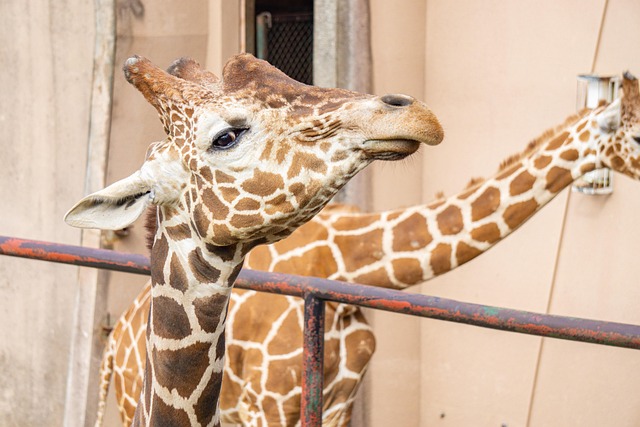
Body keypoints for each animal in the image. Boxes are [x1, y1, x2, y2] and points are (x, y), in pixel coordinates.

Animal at [95, 72, 640, 427]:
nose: (418, 114)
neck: (347, 267)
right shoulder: (265, 405)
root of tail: (114, 339)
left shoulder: (338, 400)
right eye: (635, 137)